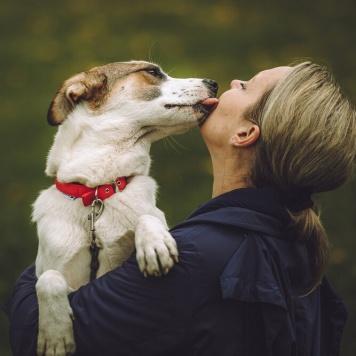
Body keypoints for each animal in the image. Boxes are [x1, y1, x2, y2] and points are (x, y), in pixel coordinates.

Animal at [32, 59, 217, 354]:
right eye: (152, 72)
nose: (214, 84)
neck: (98, 191)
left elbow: (146, 217)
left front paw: (154, 245)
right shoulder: (55, 267)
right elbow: (47, 278)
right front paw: (54, 333)